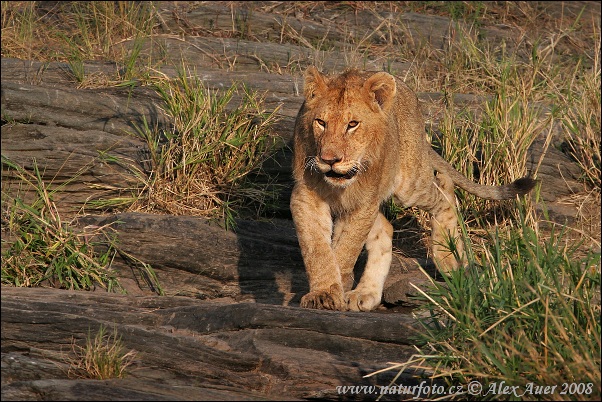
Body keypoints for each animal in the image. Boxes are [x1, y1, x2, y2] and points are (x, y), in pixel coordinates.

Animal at [288, 66, 536, 310]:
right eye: (321, 122)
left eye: (352, 125)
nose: (329, 160)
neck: (341, 186)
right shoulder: (306, 196)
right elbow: (317, 250)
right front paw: (324, 294)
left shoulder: (364, 202)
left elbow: (346, 248)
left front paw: (337, 287)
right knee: (386, 228)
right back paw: (365, 293)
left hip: (408, 186)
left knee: (445, 188)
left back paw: (448, 259)